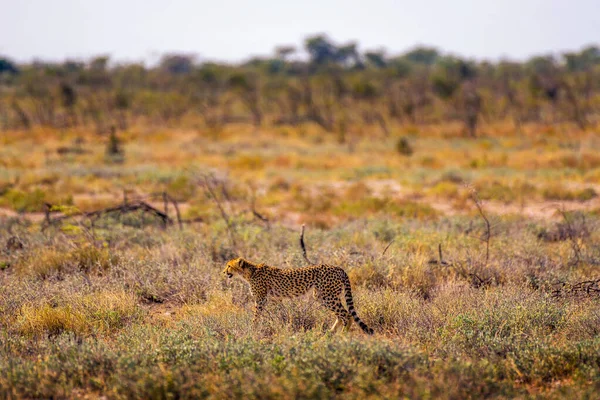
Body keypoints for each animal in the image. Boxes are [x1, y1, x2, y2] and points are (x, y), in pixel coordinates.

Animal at [221, 258, 370, 332]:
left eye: (229, 266)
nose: (223, 272)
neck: (249, 272)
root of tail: (338, 268)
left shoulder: (261, 300)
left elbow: (256, 316)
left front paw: (253, 329)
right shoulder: (276, 299)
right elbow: (280, 313)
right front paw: (284, 324)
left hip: (328, 297)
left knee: (346, 314)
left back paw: (342, 335)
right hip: (322, 296)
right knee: (340, 315)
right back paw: (330, 334)